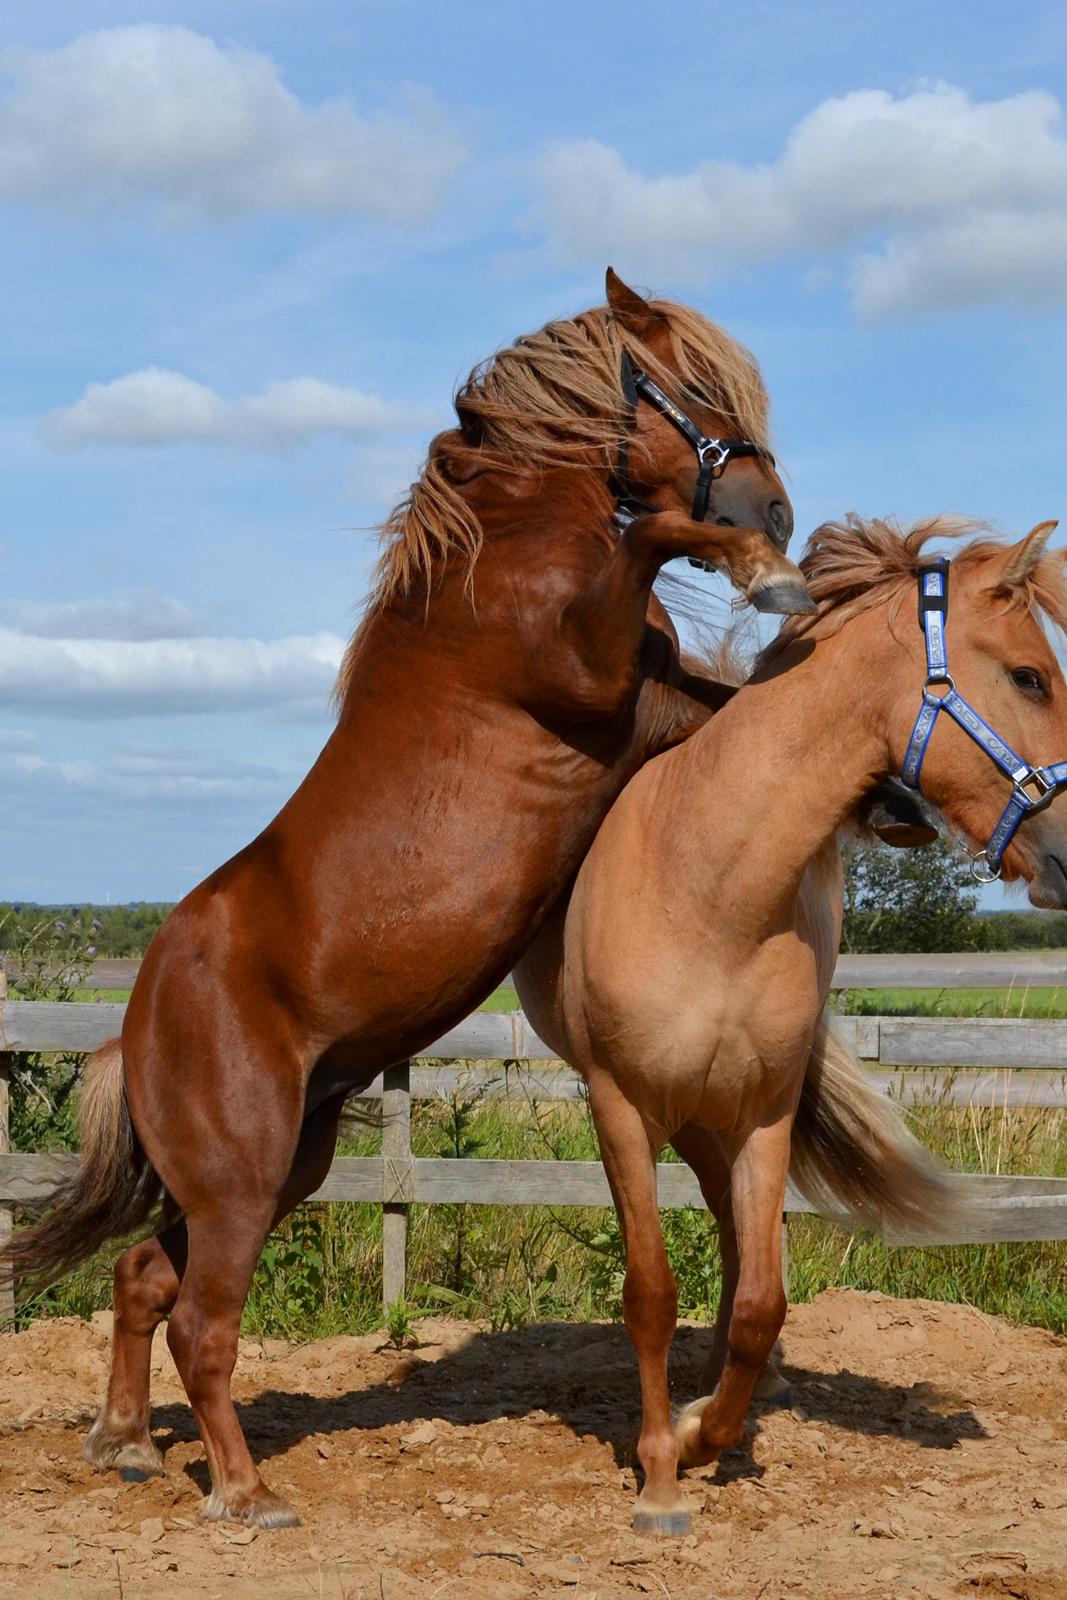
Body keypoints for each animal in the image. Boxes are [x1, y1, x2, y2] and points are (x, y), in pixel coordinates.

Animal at [8, 272, 812, 1523]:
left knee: (142, 1277)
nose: (772, 509)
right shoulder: (600, 682)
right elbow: (652, 535)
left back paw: (128, 1442)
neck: (497, 566)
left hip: (275, 1163)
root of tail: (133, 1023)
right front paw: (754, 570)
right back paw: (243, 1492)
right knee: (202, 1324)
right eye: (691, 388)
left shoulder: (658, 701)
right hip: (241, 1176)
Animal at [515, 518, 1067, 1529]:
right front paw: (660, 1473)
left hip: (718, 1116)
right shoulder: (618, 1109)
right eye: (1029, 677)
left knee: (742, 1252)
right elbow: (649, 1292)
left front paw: (706, 1431)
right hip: (684, 1118)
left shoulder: (764, 1113)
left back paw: (747, 1386)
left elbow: (763, 1297)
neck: (707, 883)